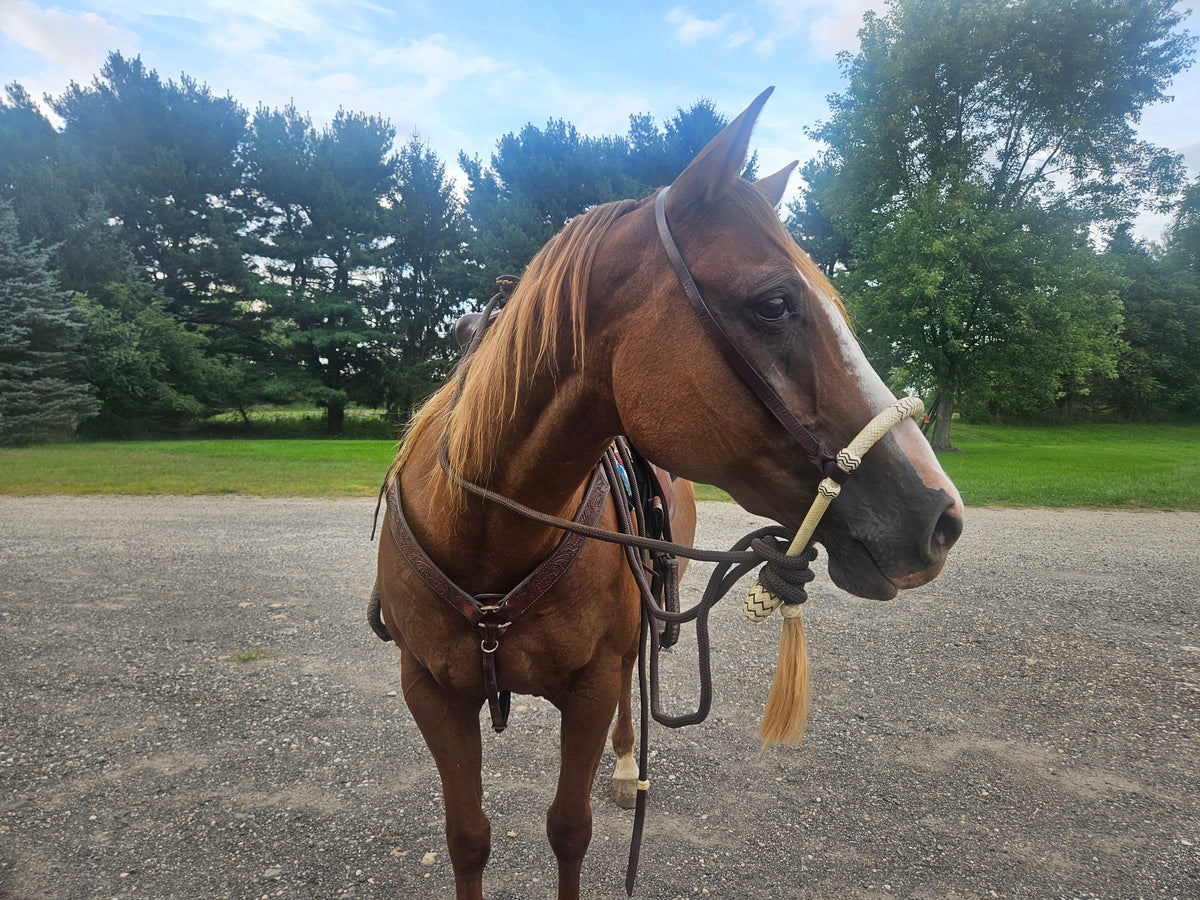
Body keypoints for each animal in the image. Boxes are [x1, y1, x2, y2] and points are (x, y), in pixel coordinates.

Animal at [373, 87, 964, 900]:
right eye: (775, 303)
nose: (940, 515)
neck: (486, 529)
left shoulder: (590, 688)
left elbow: (570, 828)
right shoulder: (430, 694)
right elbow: (468, 837)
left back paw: (628, 769)